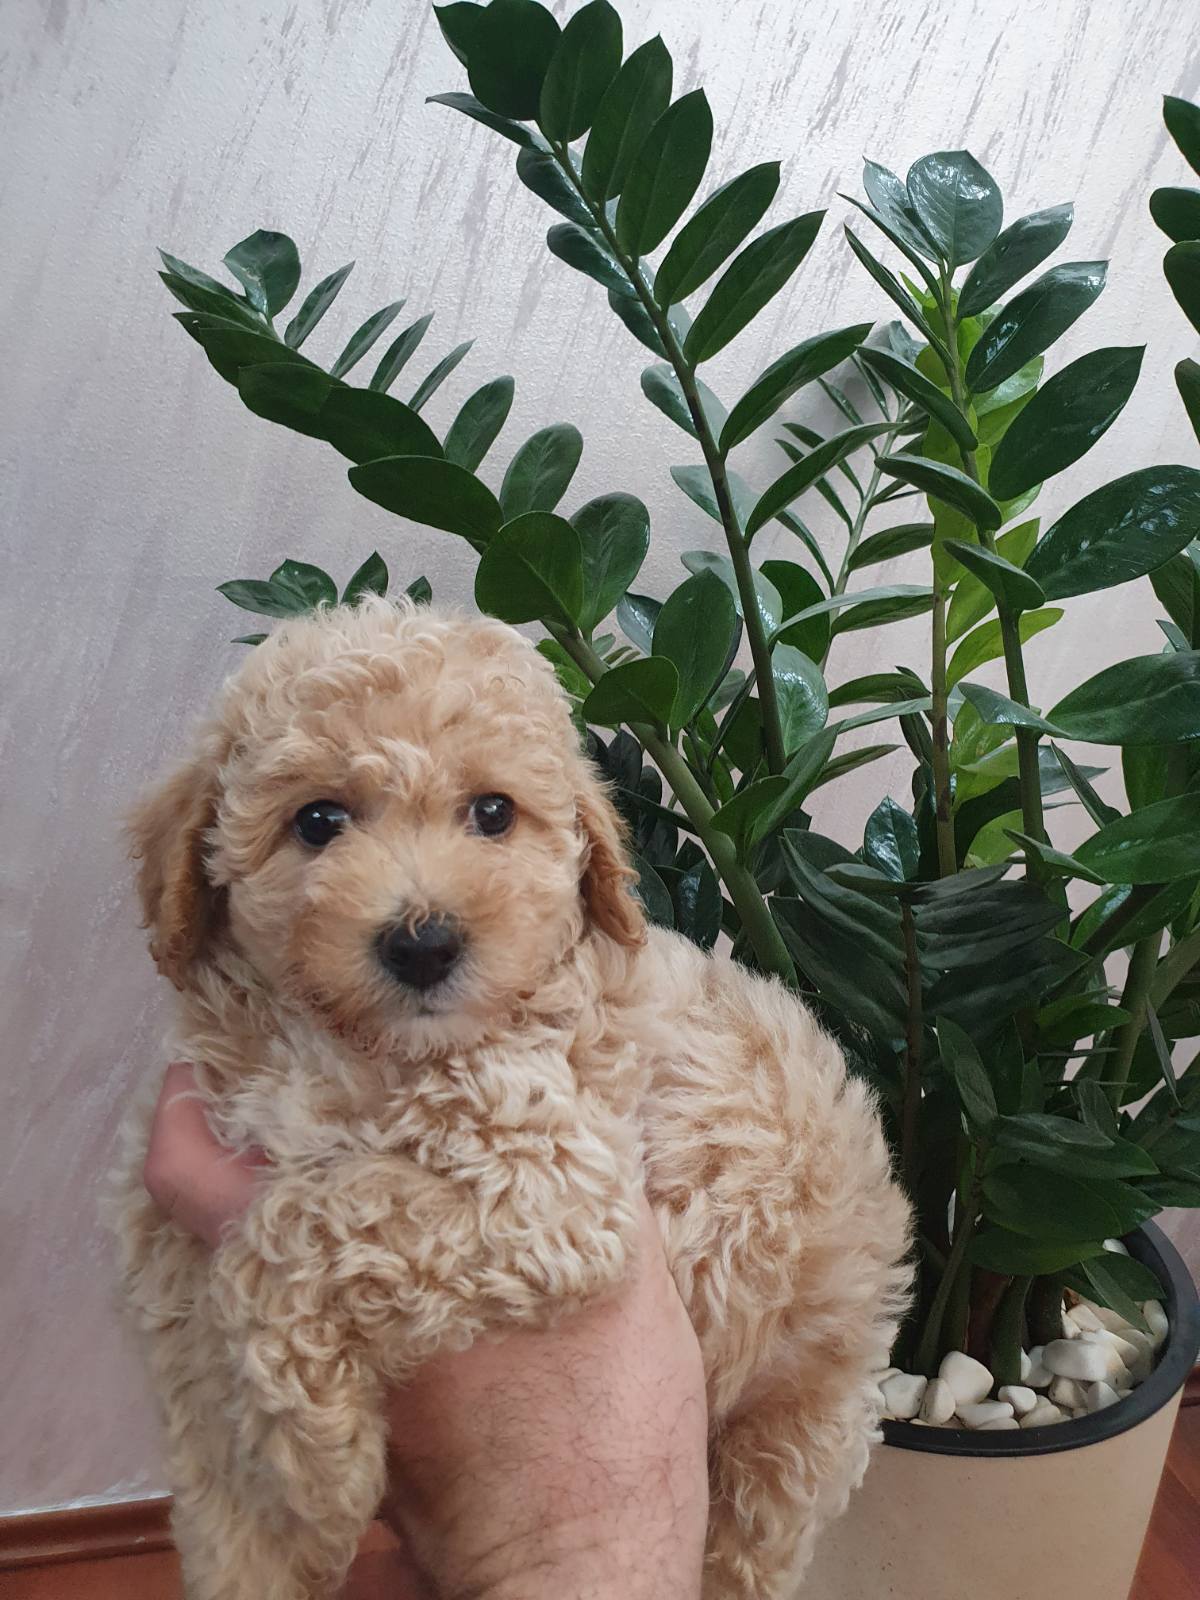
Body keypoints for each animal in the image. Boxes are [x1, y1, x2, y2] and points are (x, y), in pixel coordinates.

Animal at [110, 597, 911, 1600]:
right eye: (318, 820)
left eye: (492, 813)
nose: (422, 943)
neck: (352, 1050)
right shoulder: (169, 1217)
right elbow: (203, 1399)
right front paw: (265, 1518)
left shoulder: (552, 1185)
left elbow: (299, 1223)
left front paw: (318, 1472)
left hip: (790, 1438)